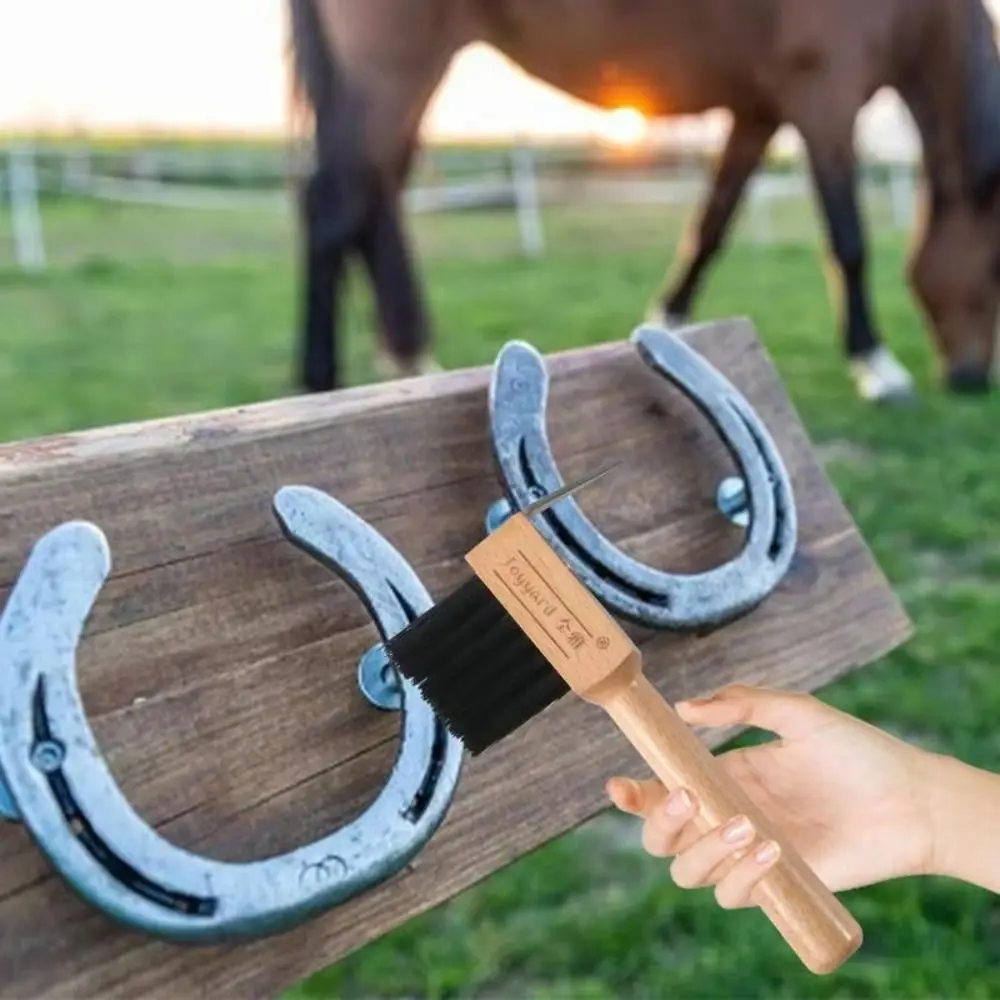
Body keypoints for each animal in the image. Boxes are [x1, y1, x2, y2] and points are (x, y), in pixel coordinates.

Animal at [285, 0, 1000, 402]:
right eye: (994, 275)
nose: (972, 377)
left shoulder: (758, 109)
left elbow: (712, 224)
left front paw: (670, 324)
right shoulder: (823, 96)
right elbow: (847, 241)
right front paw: (876, 365)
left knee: (376, 196)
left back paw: (409, 357)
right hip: (395, 66)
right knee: (333, 203)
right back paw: (317, 381)